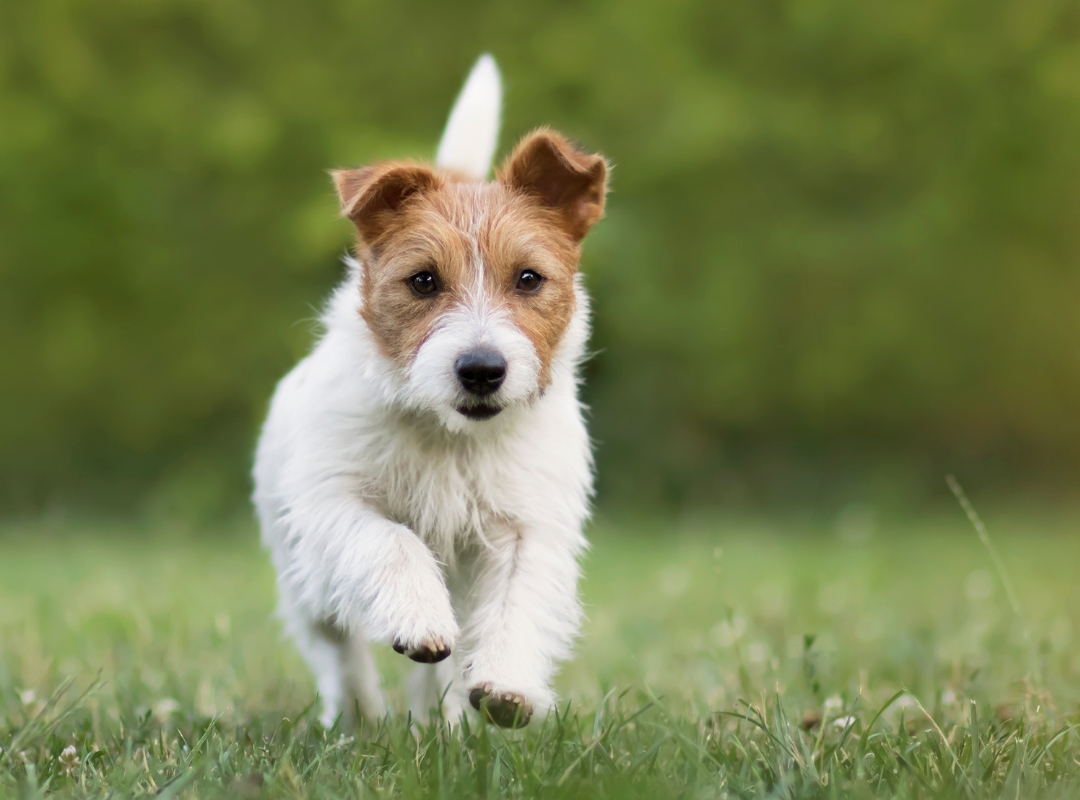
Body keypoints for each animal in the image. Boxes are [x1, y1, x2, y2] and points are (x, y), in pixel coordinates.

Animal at [251, 53, 609, 725]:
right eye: (423, 280)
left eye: (528, 278)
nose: (482, 369)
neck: (450, 434)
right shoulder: (336, 501)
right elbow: (391, 541)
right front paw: (418, 619)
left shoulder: (526, 524)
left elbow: (517, 600)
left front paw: (506, 687)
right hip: (301, 577)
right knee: (336, 648)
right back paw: (360, 718)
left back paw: (440, 724)